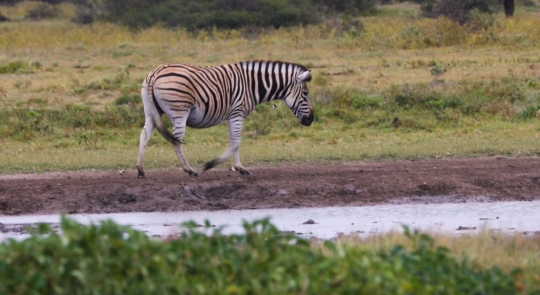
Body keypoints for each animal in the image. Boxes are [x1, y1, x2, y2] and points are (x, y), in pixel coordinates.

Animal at [135, 59, 314, 178]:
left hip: (151, 112)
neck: (252, 85)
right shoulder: (237, 113)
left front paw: (237, 168)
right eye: (305, 94)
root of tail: (155, 73)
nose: (311, 120)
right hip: (180, 112)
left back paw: (140, 169)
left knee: (144, 135)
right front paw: (218, 165)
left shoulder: (231, 115)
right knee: (176, 140)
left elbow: (233, 142)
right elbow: (236, 143)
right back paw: (190, 170)